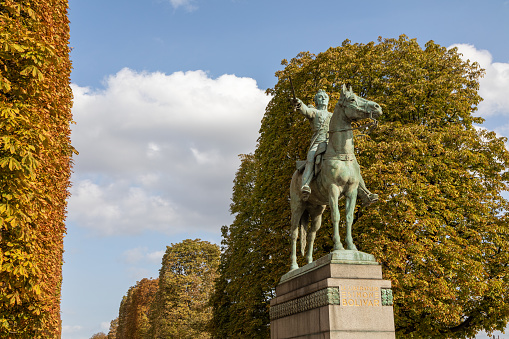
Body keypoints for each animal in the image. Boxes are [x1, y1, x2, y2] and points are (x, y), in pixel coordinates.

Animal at [290, 85, 380, 274]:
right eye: (352, 99)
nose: (377, 107)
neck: (341, 153)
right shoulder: (333, 190)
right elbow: (337, 216)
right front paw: (338, 246)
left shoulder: (352, 191)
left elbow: (349, 217)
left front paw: (352, 247)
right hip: (297, 207)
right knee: (294, 234)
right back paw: (294, 267)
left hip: (317, 210)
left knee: (311, 234)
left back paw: (309, 262)